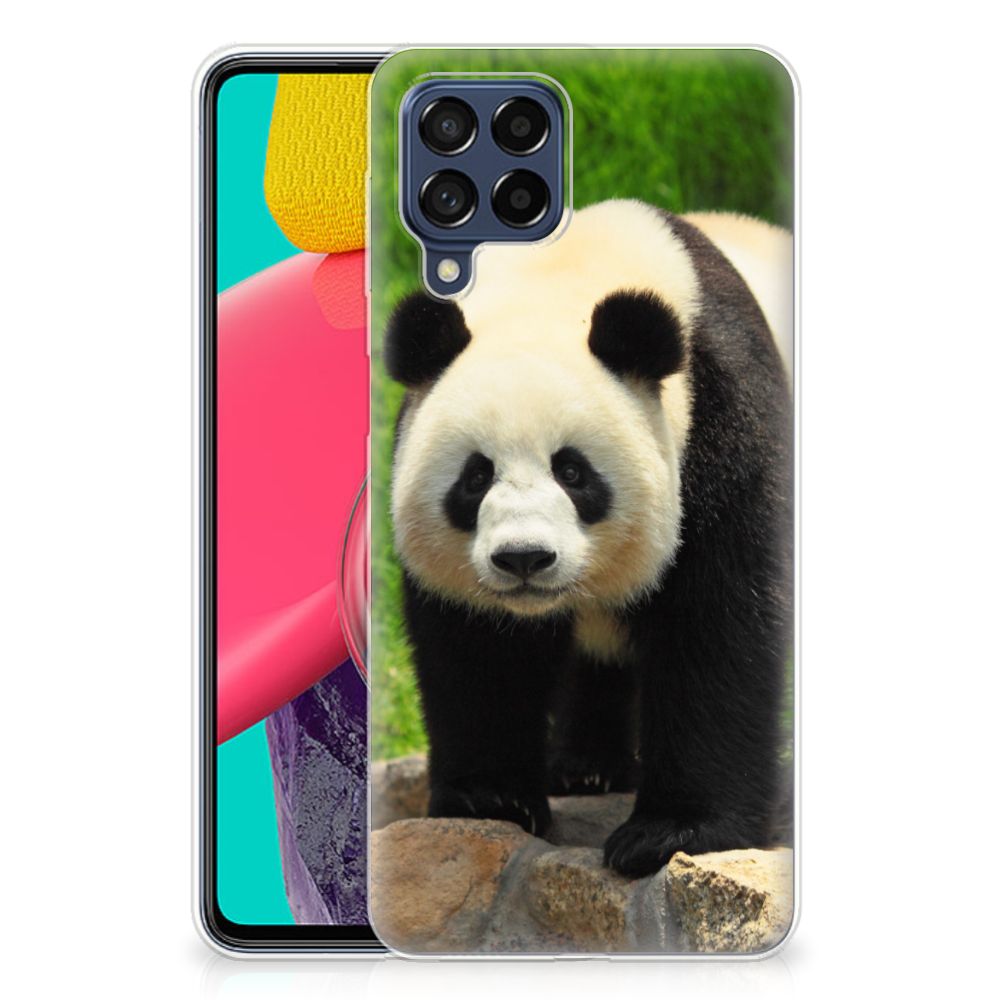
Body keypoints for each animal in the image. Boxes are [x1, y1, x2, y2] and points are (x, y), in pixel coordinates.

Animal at [383, 199, 793, 877]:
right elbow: (478, 648)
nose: (524, 558)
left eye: (573, 472)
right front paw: (490, 799)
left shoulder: (724, 422)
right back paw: (586, 769)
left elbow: (717, 625)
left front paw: (670, 833)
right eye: (475, 476)